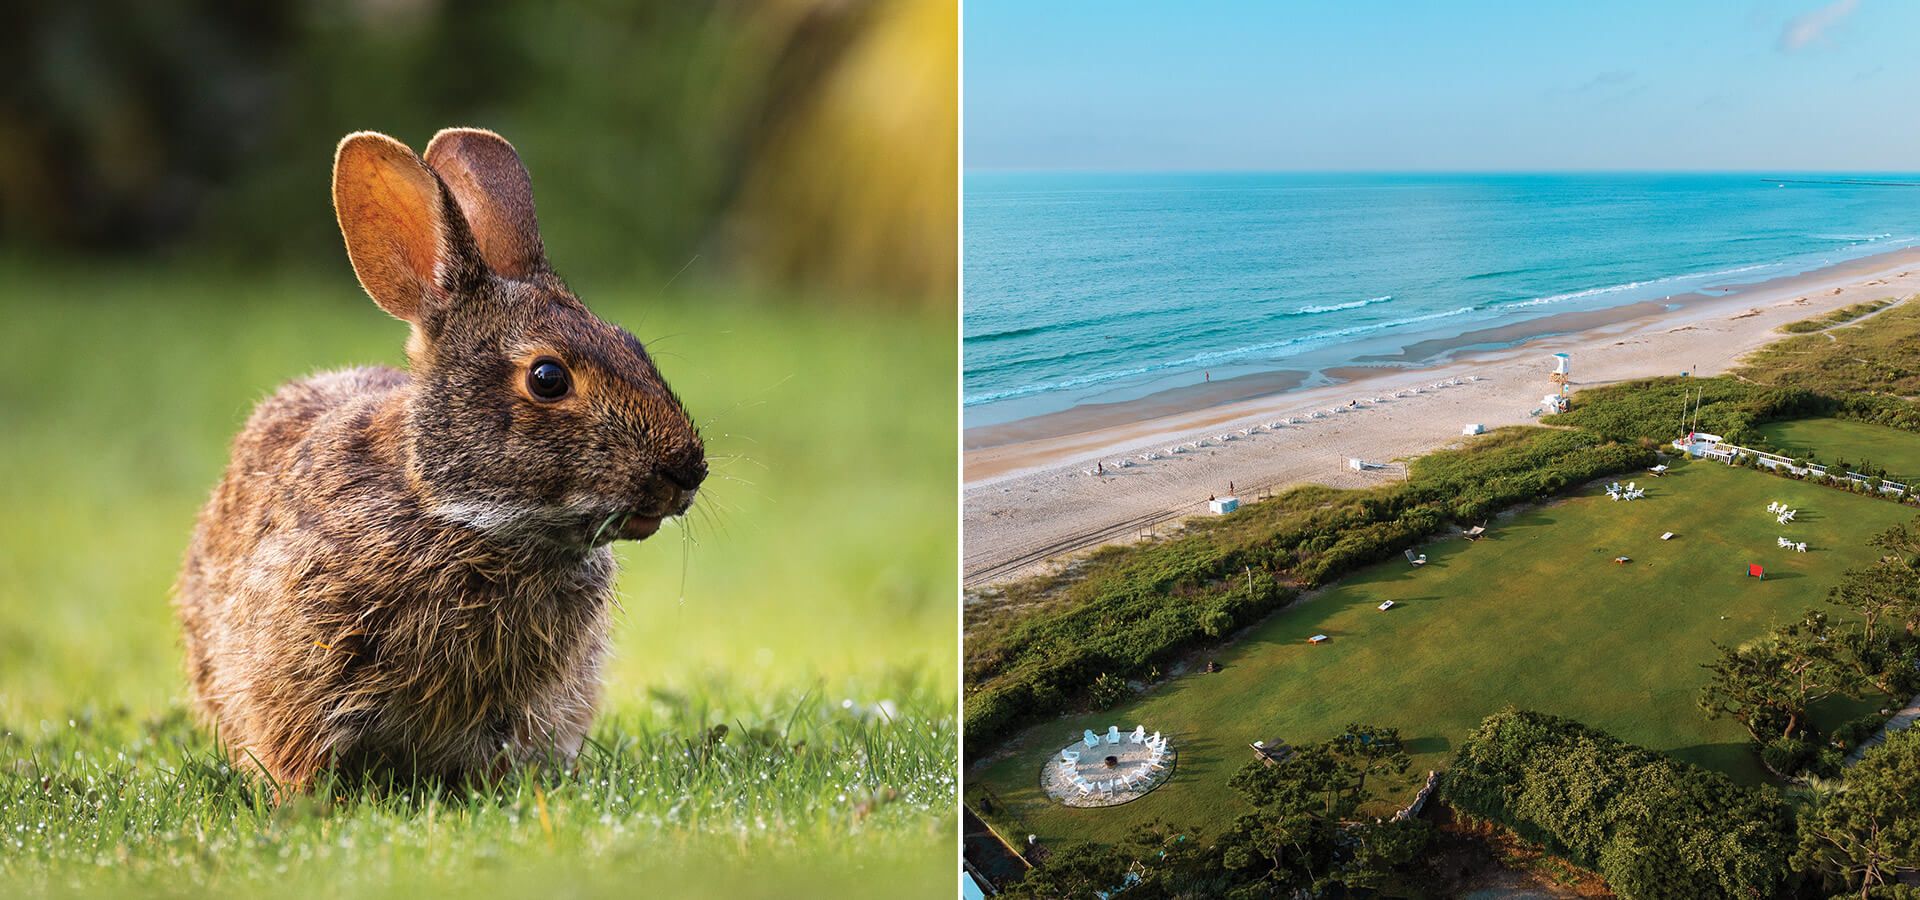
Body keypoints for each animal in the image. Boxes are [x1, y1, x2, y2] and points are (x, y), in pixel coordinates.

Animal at [173, 128, 706, 791]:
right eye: (548, 378)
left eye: (632, 345)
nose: (688, 471)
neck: (451, 510)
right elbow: (295, 751)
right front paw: (312, 803)